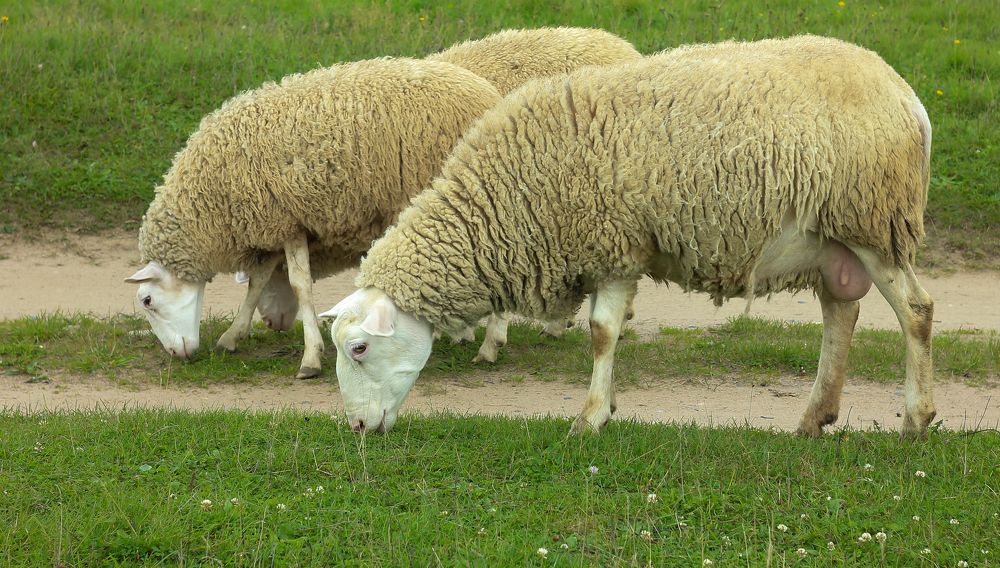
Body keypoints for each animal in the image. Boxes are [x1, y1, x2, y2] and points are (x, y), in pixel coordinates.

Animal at [125, 58, 503, 378]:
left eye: (147, 301)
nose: (176, 355)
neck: (211, 199)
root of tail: (490, 94)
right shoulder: (271, 226)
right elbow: (257, 283)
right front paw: (233, 335)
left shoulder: (287, 223)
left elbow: (300, 286)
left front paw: (310, 358)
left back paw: (489, 345)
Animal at [319, 36, 937, 439]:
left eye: (359, 348)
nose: (358, 426)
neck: (503, 199)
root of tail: (905, 92)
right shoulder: (606, 248)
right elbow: (605, 335)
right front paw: (606, 404)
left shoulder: (615, 247)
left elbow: (601, 332)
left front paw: (589, 418)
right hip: (833, 239)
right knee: (841, 313)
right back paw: (814, 418)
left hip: (873, 221)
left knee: (916, 312)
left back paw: (916, 418)